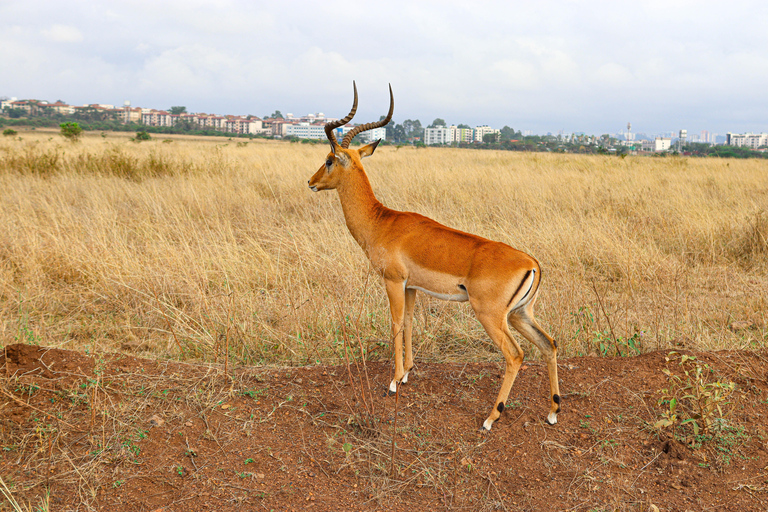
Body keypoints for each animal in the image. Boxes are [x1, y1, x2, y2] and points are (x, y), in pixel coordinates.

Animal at [308, 82, 564, 430]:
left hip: (491, 315)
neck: (381, 221)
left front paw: (393, 381)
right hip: (521, 313)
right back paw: (552, 412)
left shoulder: (393, 282)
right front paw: (406, 374)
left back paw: (490, 417)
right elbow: (410, 322)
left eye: (329, 159)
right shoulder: (412, 287)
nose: (310, 182)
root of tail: (532, 263)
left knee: (515, 355)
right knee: (549, 344)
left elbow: (395, 323)